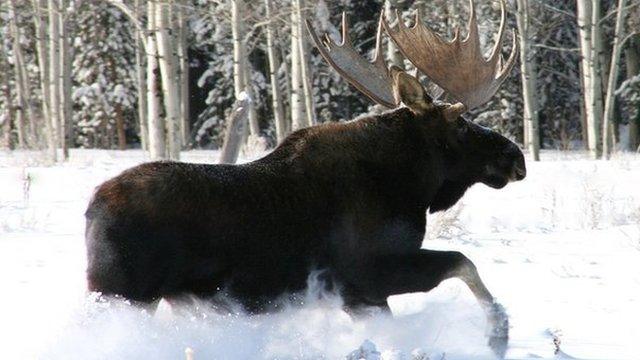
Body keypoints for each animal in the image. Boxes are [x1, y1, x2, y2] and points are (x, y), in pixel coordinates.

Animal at [85, 1, 524, 358]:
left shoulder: (359, 295)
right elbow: (463, 262)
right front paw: (497, 336)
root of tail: (92, 211)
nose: (515, 156)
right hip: (123, 294)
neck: (411, 184)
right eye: (460, 121)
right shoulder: (369, 274)